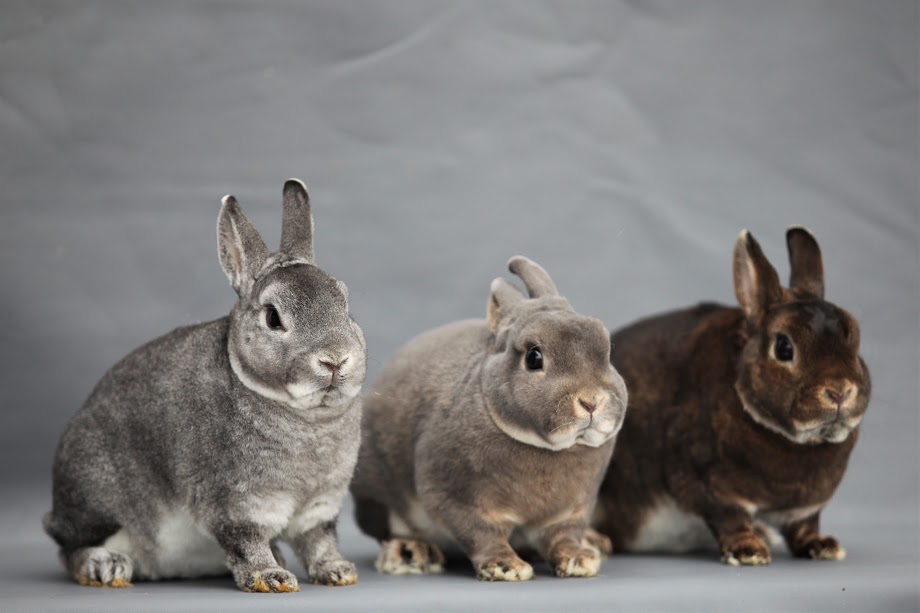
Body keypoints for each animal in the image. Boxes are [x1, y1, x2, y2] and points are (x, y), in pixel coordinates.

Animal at [43, 179, 368, 592]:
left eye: (345, 304)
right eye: (273, 317)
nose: (335, 360)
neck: (307, 415)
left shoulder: (319, 506)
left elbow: (319, 540)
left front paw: (338, 572)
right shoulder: (235, 501)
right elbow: (247, 541)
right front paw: (271, 579)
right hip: (95, 493)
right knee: (69, 546)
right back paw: (106, 567)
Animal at [350, 256, 628, 581]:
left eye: (606, 350)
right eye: (534, 357)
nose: (591, 400)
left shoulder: (571, 509)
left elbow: (563, 536)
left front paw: (579, 560)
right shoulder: (458, 498)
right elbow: (482, 533)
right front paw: (506, 567)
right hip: (378, 496)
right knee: (389, 530)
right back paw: (410, 554)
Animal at [593, 227, 870, 566]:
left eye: (855, 339)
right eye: (784, 347)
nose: (840, 391)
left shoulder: (805, 509)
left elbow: (805, 527)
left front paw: (824, 546)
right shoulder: (714, 489)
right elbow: (731, 520)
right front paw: (749, 551)